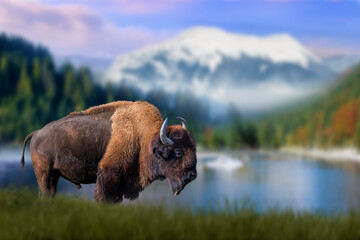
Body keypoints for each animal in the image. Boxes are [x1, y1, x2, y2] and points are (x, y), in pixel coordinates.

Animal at [19, 100, 197, 202]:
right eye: (178, 152)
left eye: (193, 148)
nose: (192, 175)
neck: (142, 137)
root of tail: (36, 133)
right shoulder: (108, 175)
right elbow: (103, 198)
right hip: (43, 172)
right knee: (44, 192)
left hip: (54, 175)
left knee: (50, 193)